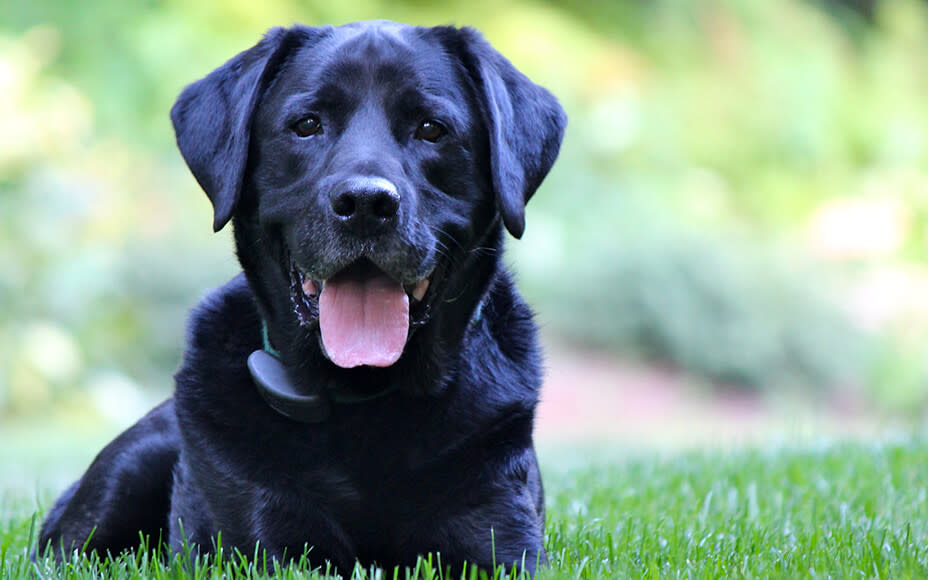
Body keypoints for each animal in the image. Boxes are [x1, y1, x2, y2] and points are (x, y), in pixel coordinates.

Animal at [38, 19, 564, 576]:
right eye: (307, 124)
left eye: (432, 128)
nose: (365, 204)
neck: (365, 401)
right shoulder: (267, 546)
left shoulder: (499, 538)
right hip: (128, 470)